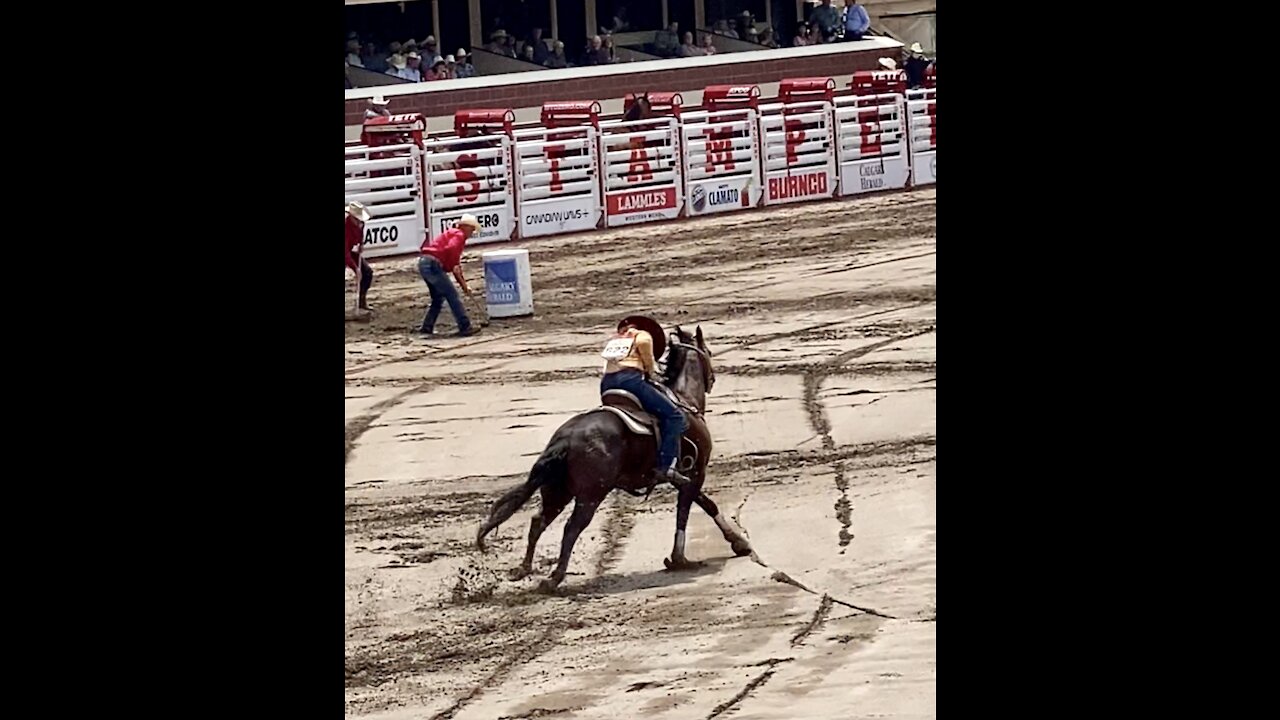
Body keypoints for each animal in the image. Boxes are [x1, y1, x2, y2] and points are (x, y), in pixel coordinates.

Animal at [476, 324, 752, 589]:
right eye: (709, 351)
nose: (713, 379)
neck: (684, 400)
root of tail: (565, 438)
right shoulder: (695, 472)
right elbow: (691, 509)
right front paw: (681, 558)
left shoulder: (682, 476)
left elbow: (703, 503)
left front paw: (736, 543)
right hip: (590, 495)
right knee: (571, 528)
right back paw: (554, 578)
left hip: (557, 490)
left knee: (538, 521)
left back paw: (524, 569)